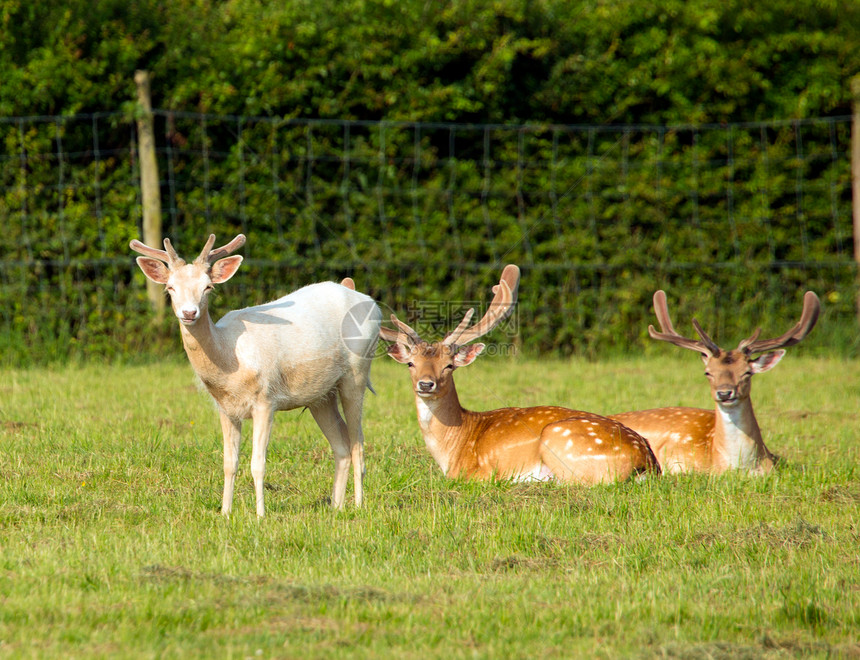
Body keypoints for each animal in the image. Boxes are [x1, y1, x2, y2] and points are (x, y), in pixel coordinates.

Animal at [130, 235, 380, 520]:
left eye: (207, 287)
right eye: (170, 287)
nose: (189, 313)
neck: (231, 360)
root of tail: (372, 303)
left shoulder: (265, 400)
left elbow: (257, 464)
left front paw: (260, 515)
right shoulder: (225, 408)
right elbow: (229, 463)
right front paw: (225, 513)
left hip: (357, 372)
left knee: (358, 443)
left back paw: (358, 505)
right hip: (321, 395)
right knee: (341, 445)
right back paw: (336, 507)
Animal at [380, 264, 660, 484]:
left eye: (449, 365)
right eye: (411, 364)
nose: (426, 384)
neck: (454, 447)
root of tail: (646, 460)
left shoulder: (476, 473)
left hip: (559, 440)